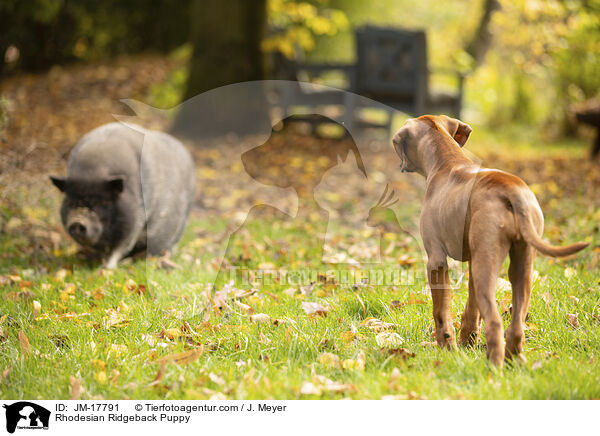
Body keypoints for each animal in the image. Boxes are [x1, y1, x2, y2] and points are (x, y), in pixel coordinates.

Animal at [49, 121, 195, 268]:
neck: (92, 172)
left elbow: (121, 246)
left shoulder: (135, 220)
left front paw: (107, 268)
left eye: (102, 202)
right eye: (71, 201)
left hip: (181, 225)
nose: (78, 221)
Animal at [392, 114, 588, 366]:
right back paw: (513, 360)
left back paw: (494, 368)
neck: (447, 161)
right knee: (516, 324)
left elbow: (440, 311)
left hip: (487, 267)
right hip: (519, 264)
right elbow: (471, 306)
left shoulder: (436, 260)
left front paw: (447, 348)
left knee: (495, 323)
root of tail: (512, 189)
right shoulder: (473, 261)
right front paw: (467, 340)